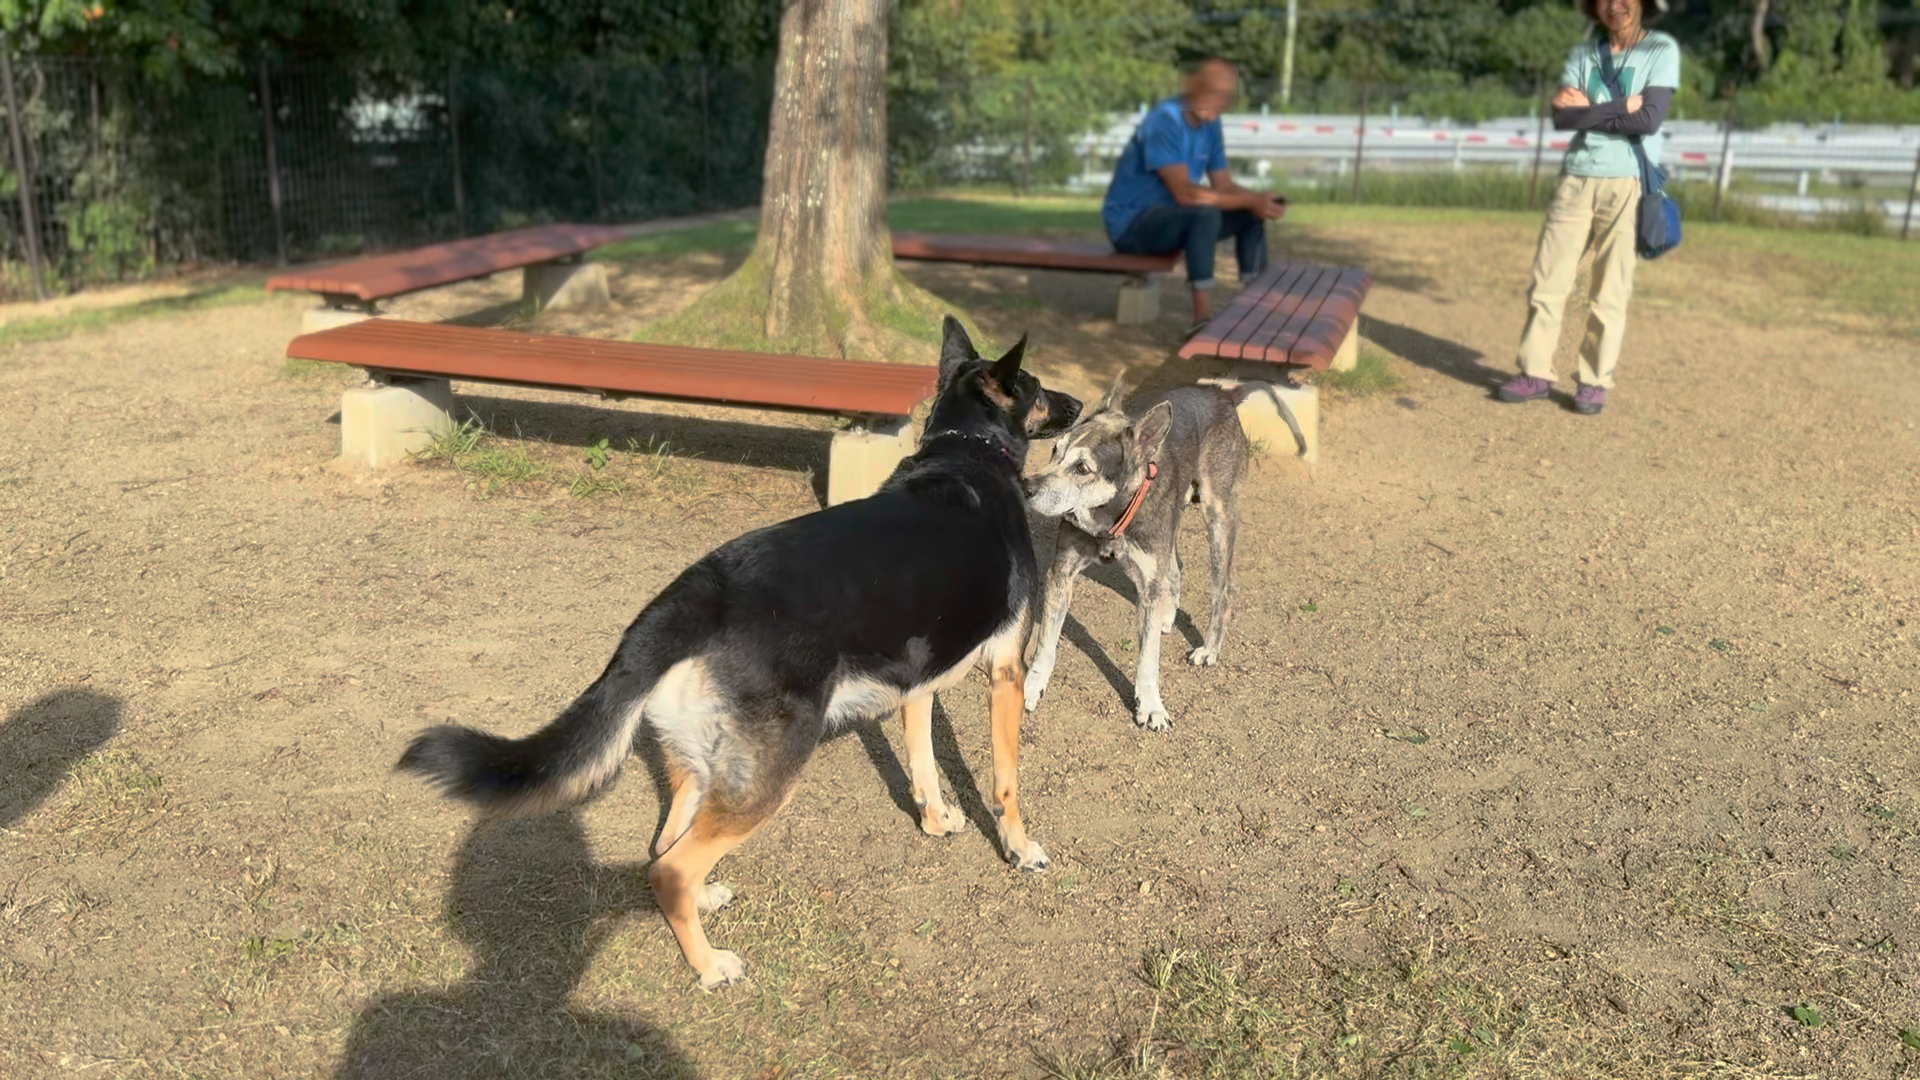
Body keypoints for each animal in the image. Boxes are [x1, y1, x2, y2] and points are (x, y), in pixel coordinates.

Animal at [396, 316, 1081, 990]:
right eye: (1037, 387)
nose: (1079, 405)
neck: (967, 451)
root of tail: (691, 598)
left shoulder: (919, 677)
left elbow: (922, 760)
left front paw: (935, 820)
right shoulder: (1006, 672)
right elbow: (1006, 782)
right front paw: (1019, 850)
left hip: (704, 765)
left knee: (665, 847)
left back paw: (700, 905)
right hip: (768, 775)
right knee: (670, 867)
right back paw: (709, 965)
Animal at [1021, 377, 1302, 731]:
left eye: (1083, 468)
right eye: (1054, 451)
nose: (1026, 487)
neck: (1111, 516)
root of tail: (1223, 394)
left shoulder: (1147, 579)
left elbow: (1147, 656)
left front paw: (1151, 705)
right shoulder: (1062, 571)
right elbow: (1046, 641)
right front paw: (1031, 686)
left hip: (1219, 517)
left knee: (1223, 588)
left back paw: (1209, 649)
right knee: (1174, 567)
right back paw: (1168, 615)